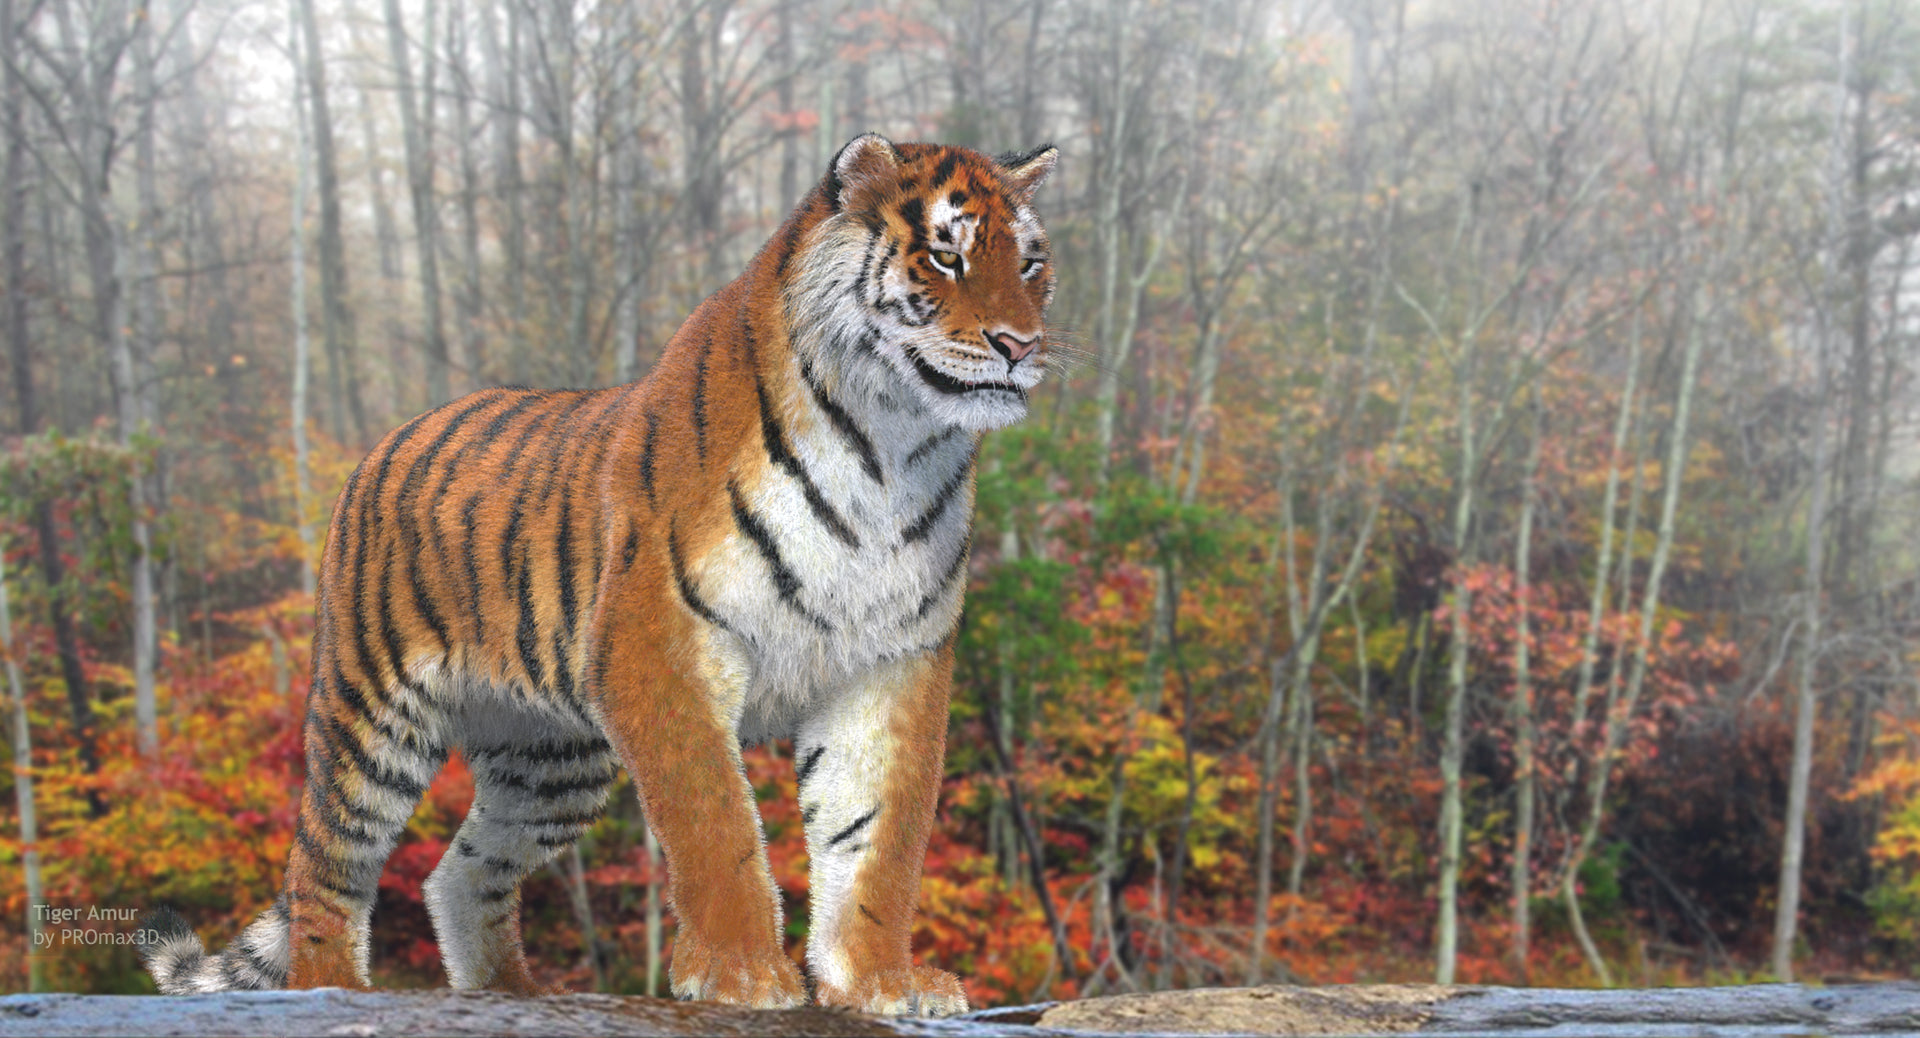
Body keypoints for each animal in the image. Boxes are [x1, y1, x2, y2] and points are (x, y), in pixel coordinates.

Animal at [140, 134, 1058, 1016]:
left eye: (1030, 264)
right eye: (944, 255)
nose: (1020, 346)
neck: (891, 449)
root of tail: (385, 440)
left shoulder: (890, 665)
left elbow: (876, 838)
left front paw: (876, 982)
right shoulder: (665, 644)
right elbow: (715, 821)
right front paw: (741, 975)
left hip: (549, 761)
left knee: (461, 870)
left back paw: (512, 995)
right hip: (372, 712)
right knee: (325, 869)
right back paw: (338, 990)